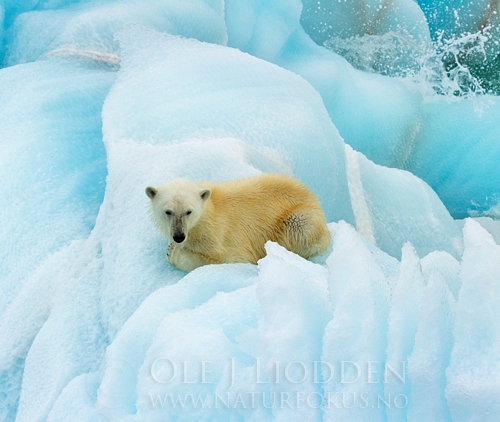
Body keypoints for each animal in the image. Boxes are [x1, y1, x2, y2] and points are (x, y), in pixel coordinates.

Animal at [146, 173, 332, 272]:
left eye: (188, 211)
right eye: (168, 211)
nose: (178, 236)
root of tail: (313, 198)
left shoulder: (220, 234)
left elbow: (234, 258)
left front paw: (174, 252)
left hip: (298, 218)